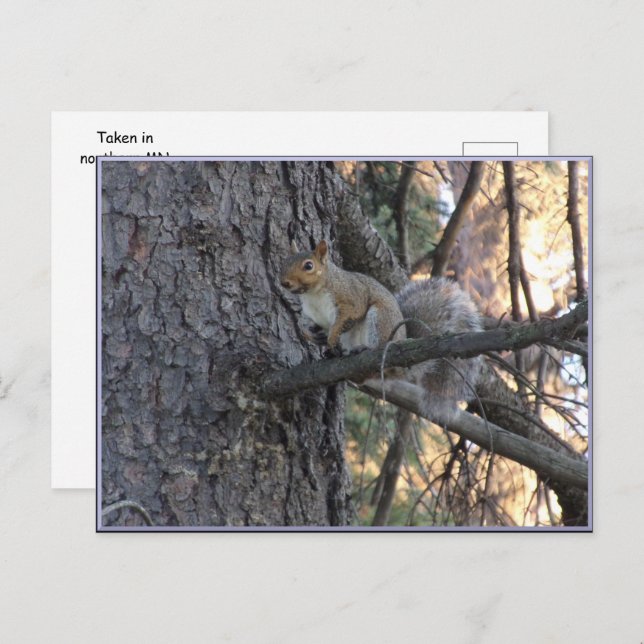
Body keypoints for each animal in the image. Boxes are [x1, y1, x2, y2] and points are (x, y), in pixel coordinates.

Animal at [280, 239, 482, 422]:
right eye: (285, 261)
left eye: (308, 265)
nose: (285, 283)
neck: (313, 294)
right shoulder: (315, 316)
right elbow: (314, 327)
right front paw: (311, 334)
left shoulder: (351, 298)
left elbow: (346, 318)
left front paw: (331, 337)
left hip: (379, 319)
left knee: (376, 352)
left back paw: (363, 349)